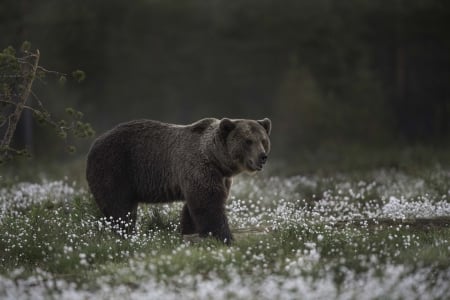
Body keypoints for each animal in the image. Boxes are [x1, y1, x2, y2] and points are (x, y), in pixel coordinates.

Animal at [86, 117, 272, 244]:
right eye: (248, 141)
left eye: (263, 140)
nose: (263, 157)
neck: (216, 160)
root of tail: (94, 143)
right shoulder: (198, 167)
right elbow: (208, 203)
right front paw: (224, 236)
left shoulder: (220, 178)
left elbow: (194, 207)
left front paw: (189, 231)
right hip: (116, 168)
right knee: (119, 208)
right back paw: (126, 233)